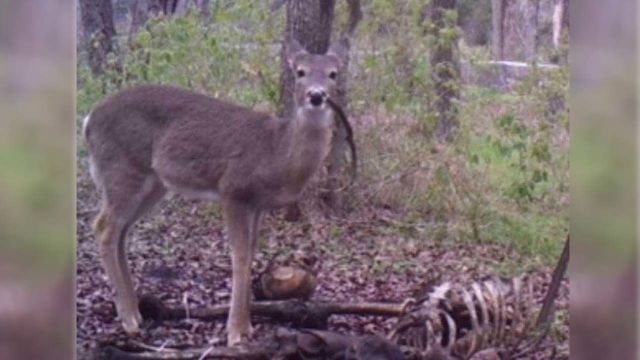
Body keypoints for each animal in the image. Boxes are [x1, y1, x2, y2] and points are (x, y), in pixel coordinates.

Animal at [83, 38, 352, 344]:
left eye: (333, 74)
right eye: (300, 72)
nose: (316, 96)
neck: (277, 153)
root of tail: (89, 120)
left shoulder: (258, 204)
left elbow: (252, 253)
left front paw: (247, 327)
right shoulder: (233, 189)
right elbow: (240, 256)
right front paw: (235, 332)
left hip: (153, 183)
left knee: (122, 232)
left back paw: (136, 312)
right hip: (122, 169)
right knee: (103, 227)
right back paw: (128, 319)